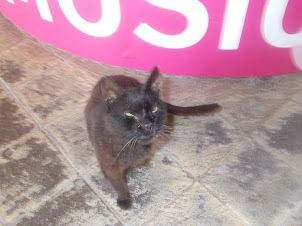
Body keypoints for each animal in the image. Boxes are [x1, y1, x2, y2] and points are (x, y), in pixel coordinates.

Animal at [85, 66, 222, 209]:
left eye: (154, 109)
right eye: (129, 114)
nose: (147, 125)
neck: (130, 144)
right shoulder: (109, 163)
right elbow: (118, 183)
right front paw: (124, 199)